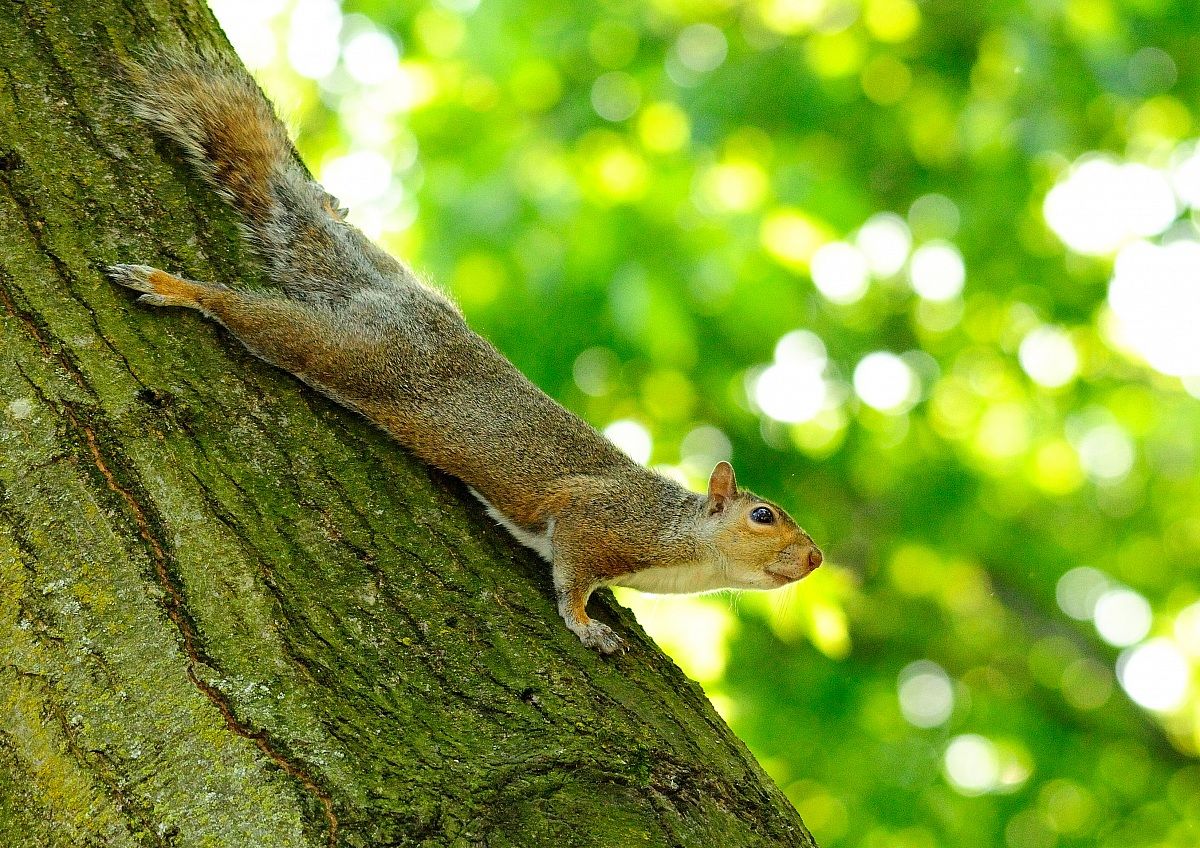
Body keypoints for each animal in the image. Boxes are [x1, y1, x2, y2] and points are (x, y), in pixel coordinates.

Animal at [106, 50, 823, 654]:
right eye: (763, 515)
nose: (815, 559)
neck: (683, 546)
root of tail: (394, 301)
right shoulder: (597, 521)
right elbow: (572, 577)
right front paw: (585, 624)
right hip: (358, 355)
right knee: (258, 319)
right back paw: (174, 288)